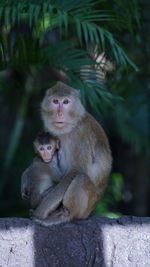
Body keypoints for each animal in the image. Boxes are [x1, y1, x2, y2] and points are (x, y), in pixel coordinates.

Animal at [32, 82, 112, 226]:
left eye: (65, 102)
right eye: (55, 101)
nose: (59, 114)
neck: (71, 126)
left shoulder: (82, 135)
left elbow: (76, 170)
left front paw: (40, 212)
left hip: (86, 207)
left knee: (81, 178)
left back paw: (65, 216)